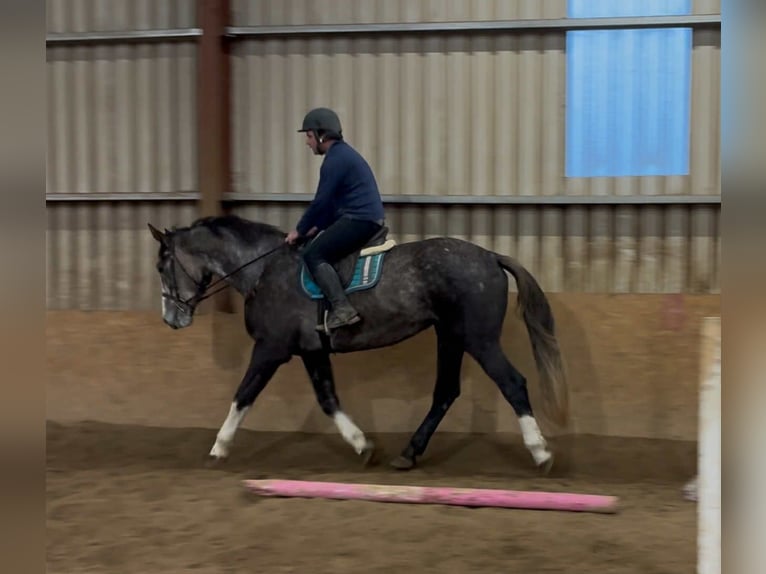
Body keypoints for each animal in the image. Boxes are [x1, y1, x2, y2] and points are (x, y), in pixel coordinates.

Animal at [148, 214, 569, 473]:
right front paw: (363, 446)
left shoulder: (270, 349)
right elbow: (328, 400)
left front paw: (218, 448)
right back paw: (408, 454)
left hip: (478, 339)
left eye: (162, 265)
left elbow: (243, 395)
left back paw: (541, 452)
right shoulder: (313, 351)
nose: (171, 319)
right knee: (446, 392)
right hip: (450, 336)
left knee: (512, 383)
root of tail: (491, 256)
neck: (263, 270)